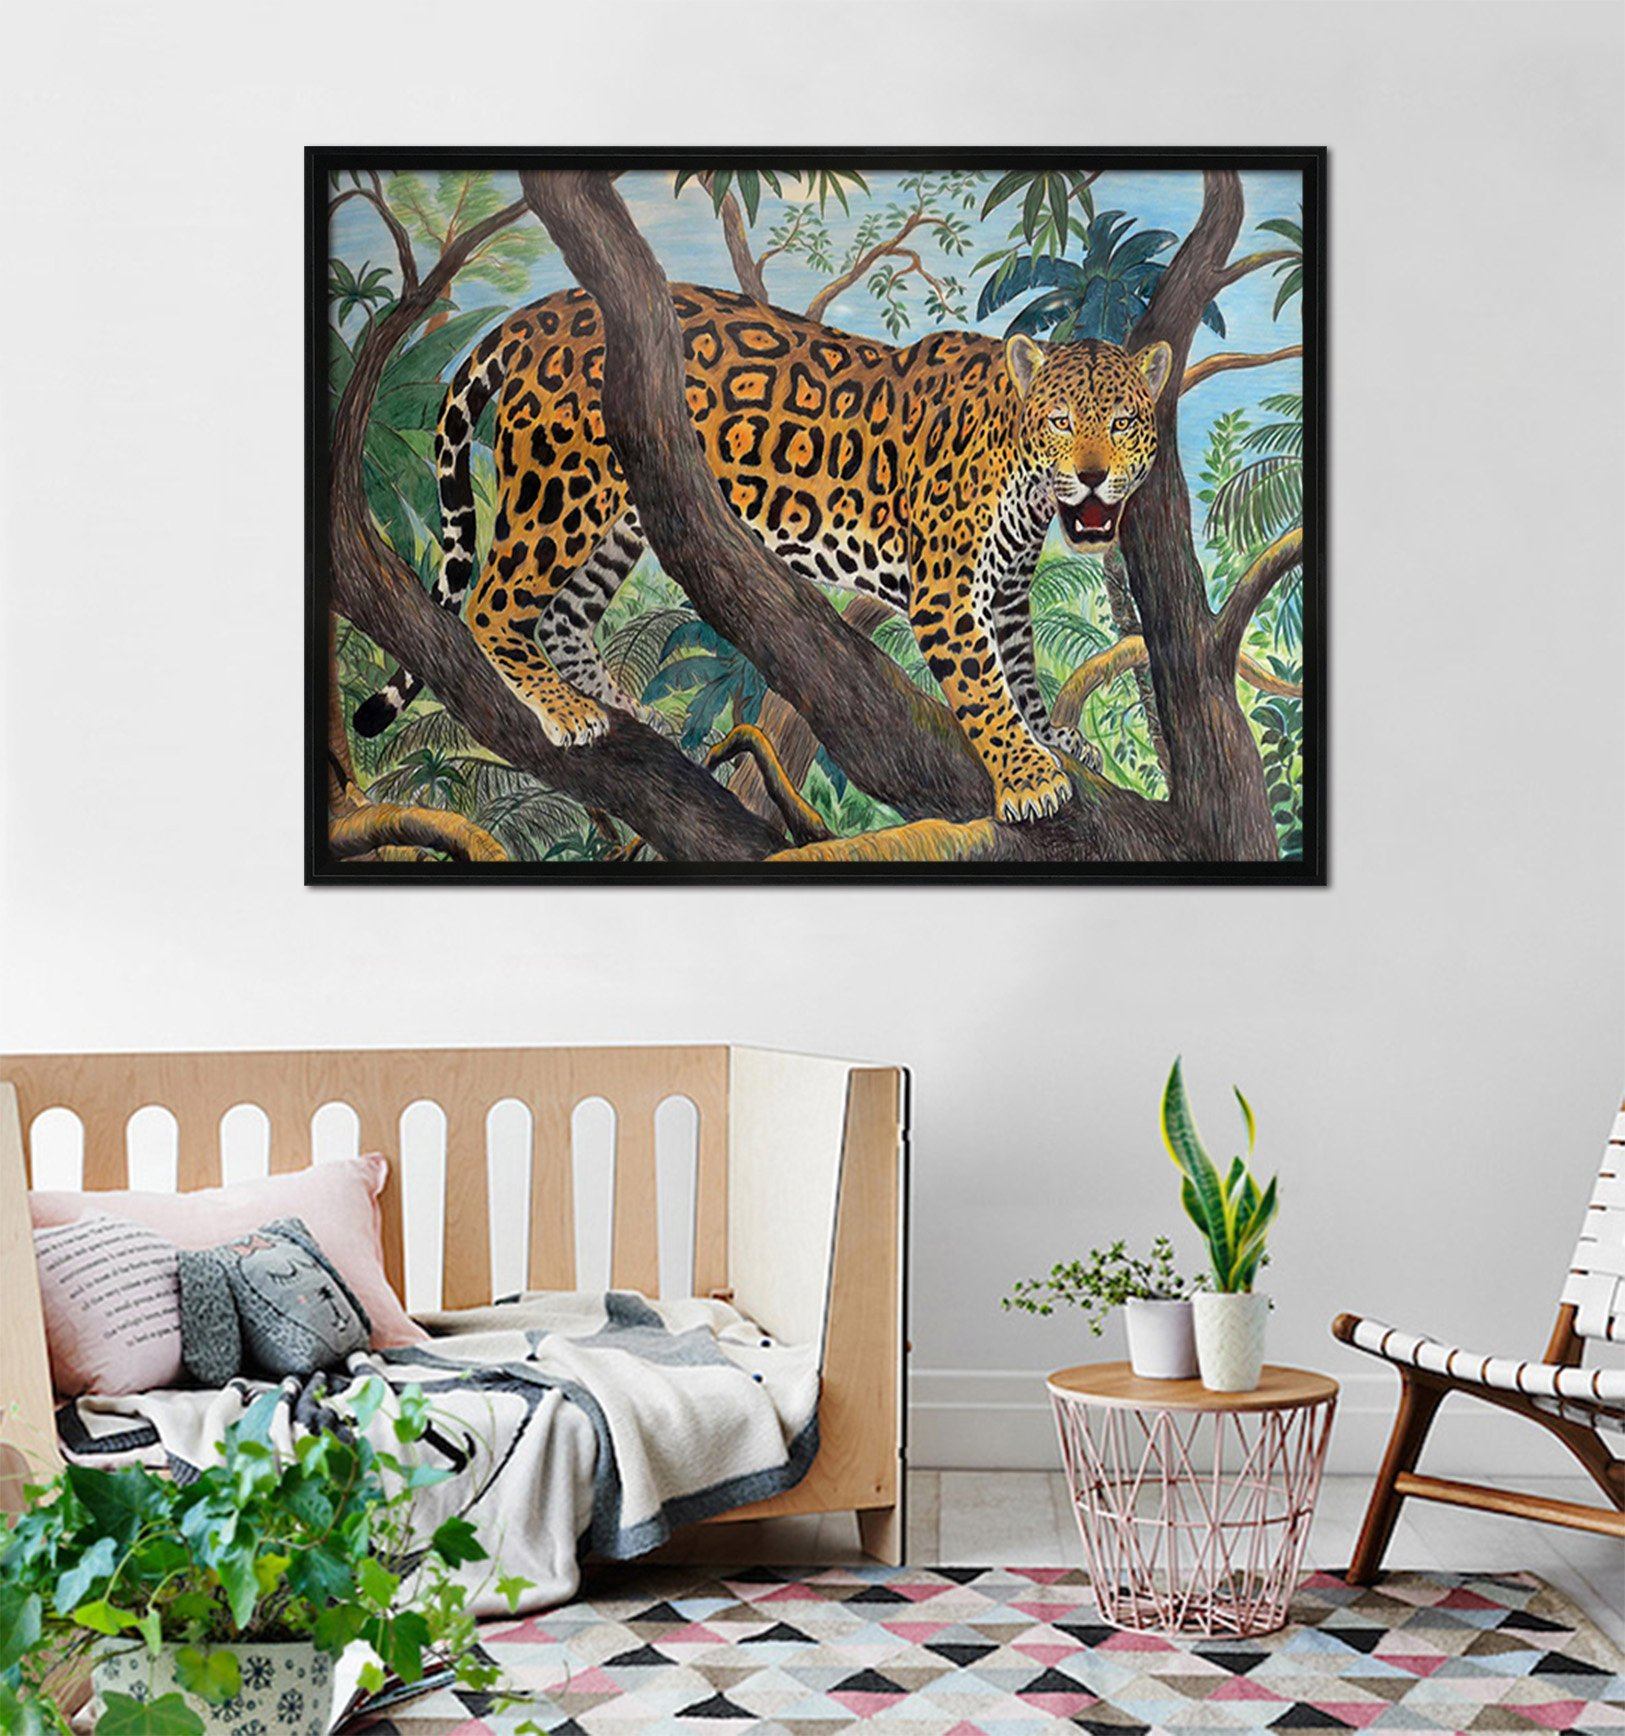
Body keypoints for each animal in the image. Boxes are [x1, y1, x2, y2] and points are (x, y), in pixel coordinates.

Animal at [353, 284, 1172, 823]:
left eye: (1124, 422)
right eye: (1061, 420)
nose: (1092, 475)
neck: (1026, 481)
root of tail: (545, 308)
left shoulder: (1003, 591)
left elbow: (1020, 672)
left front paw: (1050, 739)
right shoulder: (948, 592)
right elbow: (983, 688)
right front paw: (1027, 777)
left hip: (626, 509)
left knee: (562, 617)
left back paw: (622, 706)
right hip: (562, 486)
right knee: (493, 603)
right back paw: (566, 709)